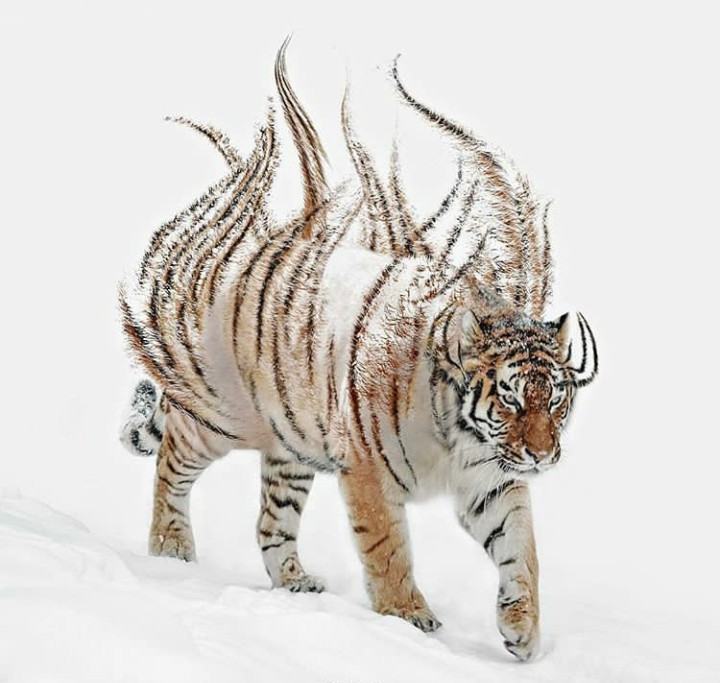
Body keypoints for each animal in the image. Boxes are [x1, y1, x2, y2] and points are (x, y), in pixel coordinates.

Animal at [119, 40, 598, 661]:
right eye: (512, 399)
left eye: (556, 400)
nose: (542, 456)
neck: (462, 438)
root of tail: (243, 262)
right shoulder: (370, 472)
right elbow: (389, 549)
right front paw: (409, 618)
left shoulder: (493, 481)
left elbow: (523, 549)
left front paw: (524, 631)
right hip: (223, 419)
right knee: (171, 456)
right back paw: (170, 547)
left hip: (292, 446)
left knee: (270, 523)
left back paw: (295, 581)